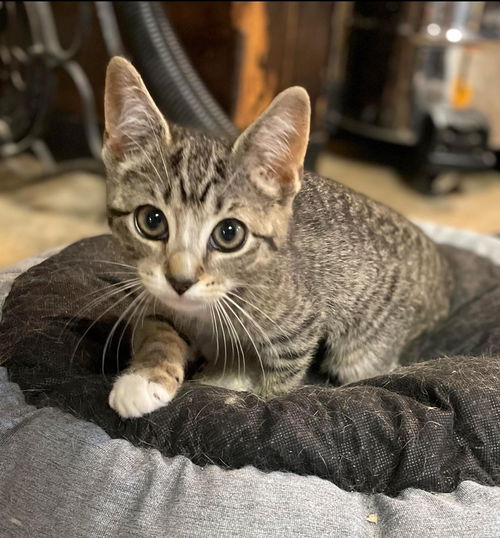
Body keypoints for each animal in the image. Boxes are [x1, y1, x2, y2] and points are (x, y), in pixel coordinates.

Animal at [102, 56, 450, 416]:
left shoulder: (299, 330)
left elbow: (276, 384)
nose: (180, 281)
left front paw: (248, 393)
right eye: (152, 220)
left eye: (229, 233)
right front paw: (144, 378)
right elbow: (156, 327)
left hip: (366, 346)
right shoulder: (156, 299)